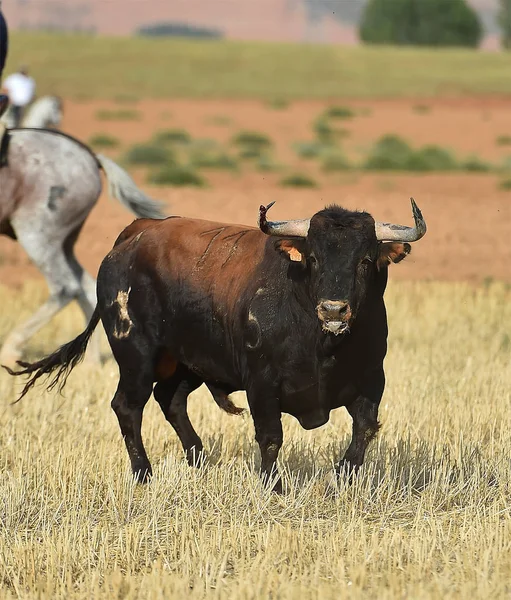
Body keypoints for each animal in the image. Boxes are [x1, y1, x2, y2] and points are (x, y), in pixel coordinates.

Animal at [0, 127, 166, 366]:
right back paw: (90, 362)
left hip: (36, 234)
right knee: (86, 286)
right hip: (64, 242)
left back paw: (11, 349)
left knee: (65, 287)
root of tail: (90, 157)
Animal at [8, 199, 428, 490]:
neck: (322, 345)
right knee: (128, 406)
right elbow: (270, 436)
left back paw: (199, 460)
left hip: (186, 362)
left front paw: (341, 479)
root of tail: (134, 233)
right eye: (312, 257)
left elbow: (363, 431)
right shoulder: (262, 383)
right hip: (135, 356)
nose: (334, 309)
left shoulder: (371, 381)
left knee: (170, 400)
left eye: (366, 260)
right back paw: (143, 474)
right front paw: (273, 487)